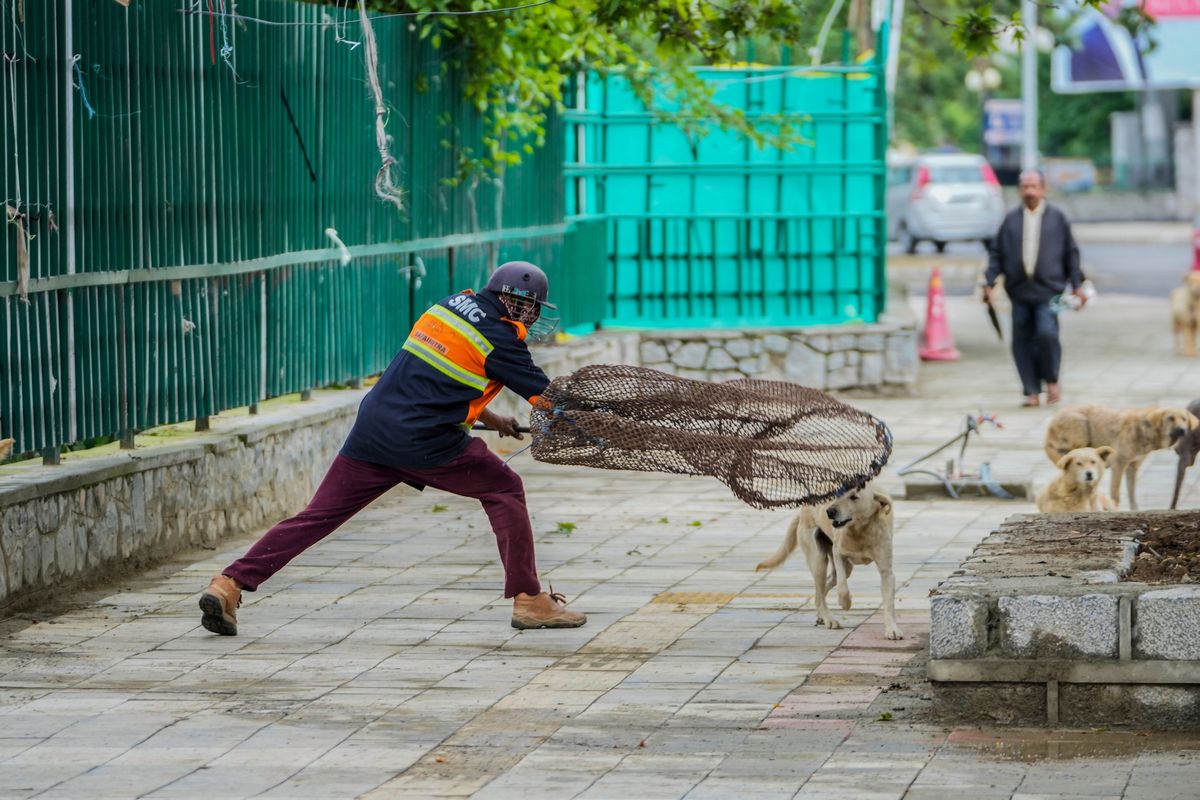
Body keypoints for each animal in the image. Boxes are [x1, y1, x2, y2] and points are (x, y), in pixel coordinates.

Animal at [748, 484, 902, 642]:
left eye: (854, 497)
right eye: (838, 494)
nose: (830, 511)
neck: (860, 531)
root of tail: (803, 509)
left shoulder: (887, 572)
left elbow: (889, 603)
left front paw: (892, 629)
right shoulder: (838, 554)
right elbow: (843, 587)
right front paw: (845, 603)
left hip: (844, 568)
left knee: (821, 591)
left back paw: (822, 615)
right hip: (819, 561)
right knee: (821, 590)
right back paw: (829, 619)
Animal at [1046, 407, 1195, 513]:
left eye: (1184, 419)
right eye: (1171, 418)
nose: (1182, 430)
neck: (1144, 430)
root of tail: (1050, 427)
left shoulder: (1132, 466)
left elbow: (1132, 494)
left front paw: (1135, 510)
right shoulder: (1118, 464)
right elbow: (1115, 494)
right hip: (1081, 428)